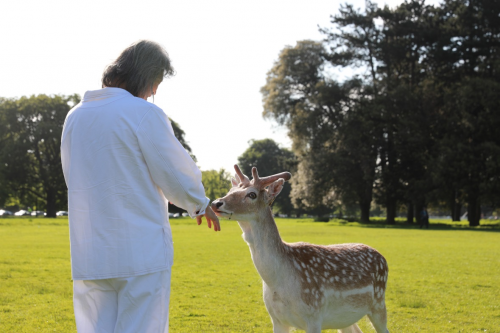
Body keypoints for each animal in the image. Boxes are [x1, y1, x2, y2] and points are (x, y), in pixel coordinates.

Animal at [211, 165, 390, 330]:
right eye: (230, 189)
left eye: (252, 194)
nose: (216, 203)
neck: (278, 283)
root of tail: (383, 258)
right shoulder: (276, 319)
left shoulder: (314, 315)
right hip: (345, 320)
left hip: (379, 303)